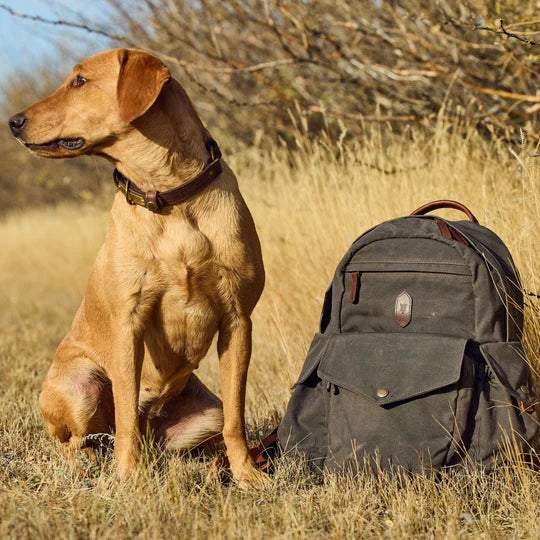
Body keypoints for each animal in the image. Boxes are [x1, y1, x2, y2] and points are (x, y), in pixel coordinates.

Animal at [9, 47, 266, 486]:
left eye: (79, 81)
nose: (12, 121)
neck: (170, 198)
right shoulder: (129, 325)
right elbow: (126, 412)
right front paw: (128, 478)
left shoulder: (238, 320)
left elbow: (237, 418)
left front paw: (247, 473)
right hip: (82, 383)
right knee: (81, 441)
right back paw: (91, 463)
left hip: (204, 413)